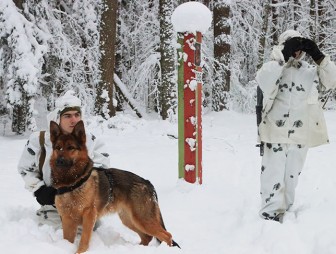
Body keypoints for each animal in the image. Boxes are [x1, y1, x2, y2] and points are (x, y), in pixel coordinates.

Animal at [49, 120, 178, 252]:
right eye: (58, 148)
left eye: (71, 148)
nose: (60, 161)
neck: (72, 183)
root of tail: (147, 182)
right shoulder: (67, 220)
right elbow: (67, 240)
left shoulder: (89, 216)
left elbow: (84, 240)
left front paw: (80, 252)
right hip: (129, 220)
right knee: (147, 237)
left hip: (142, 219)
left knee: (167, 236)